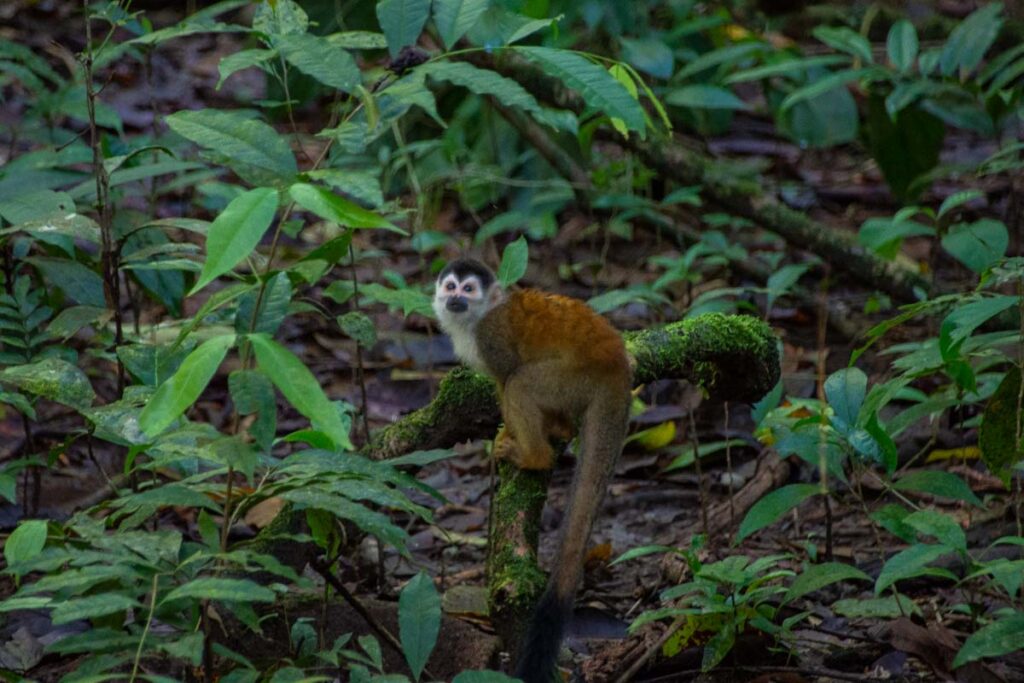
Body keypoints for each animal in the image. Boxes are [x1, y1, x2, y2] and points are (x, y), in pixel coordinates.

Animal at [433, 258, 632, 682]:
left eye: (468, 290)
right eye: (451, 286)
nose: (455, 299)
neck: (480, 315)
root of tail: (616, 366)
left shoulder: (491, 337)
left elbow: (505, 376)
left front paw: (511, 436)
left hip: (570, 378)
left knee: (521, 382)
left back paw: (534, 455)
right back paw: (561, 430)